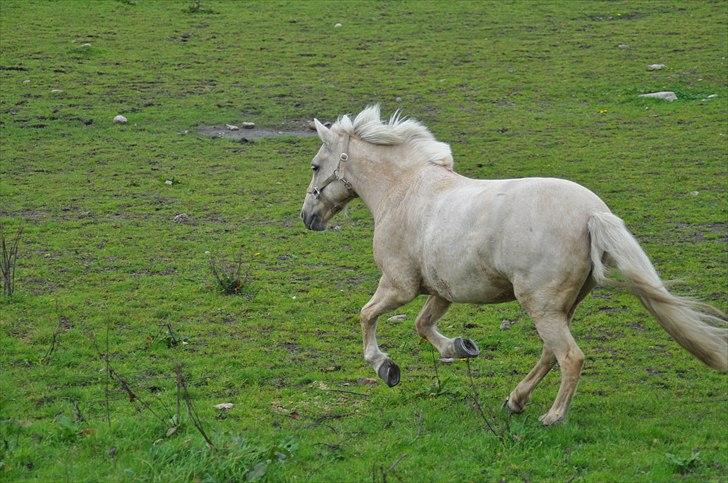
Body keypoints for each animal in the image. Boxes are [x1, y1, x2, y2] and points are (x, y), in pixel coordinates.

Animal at [298, 105, 724, 424]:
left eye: (316, 166)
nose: (307, 217)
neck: (404, 190)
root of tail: (592, 213)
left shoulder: (398, 286)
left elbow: (367, 315)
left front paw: (385, 367)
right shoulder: (441, 291)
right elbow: (423, 325)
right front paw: (460, 348)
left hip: (541, 306)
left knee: (570, 356)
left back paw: (552, 416)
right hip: (560, 307)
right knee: (550, 354)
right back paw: (515, 400)